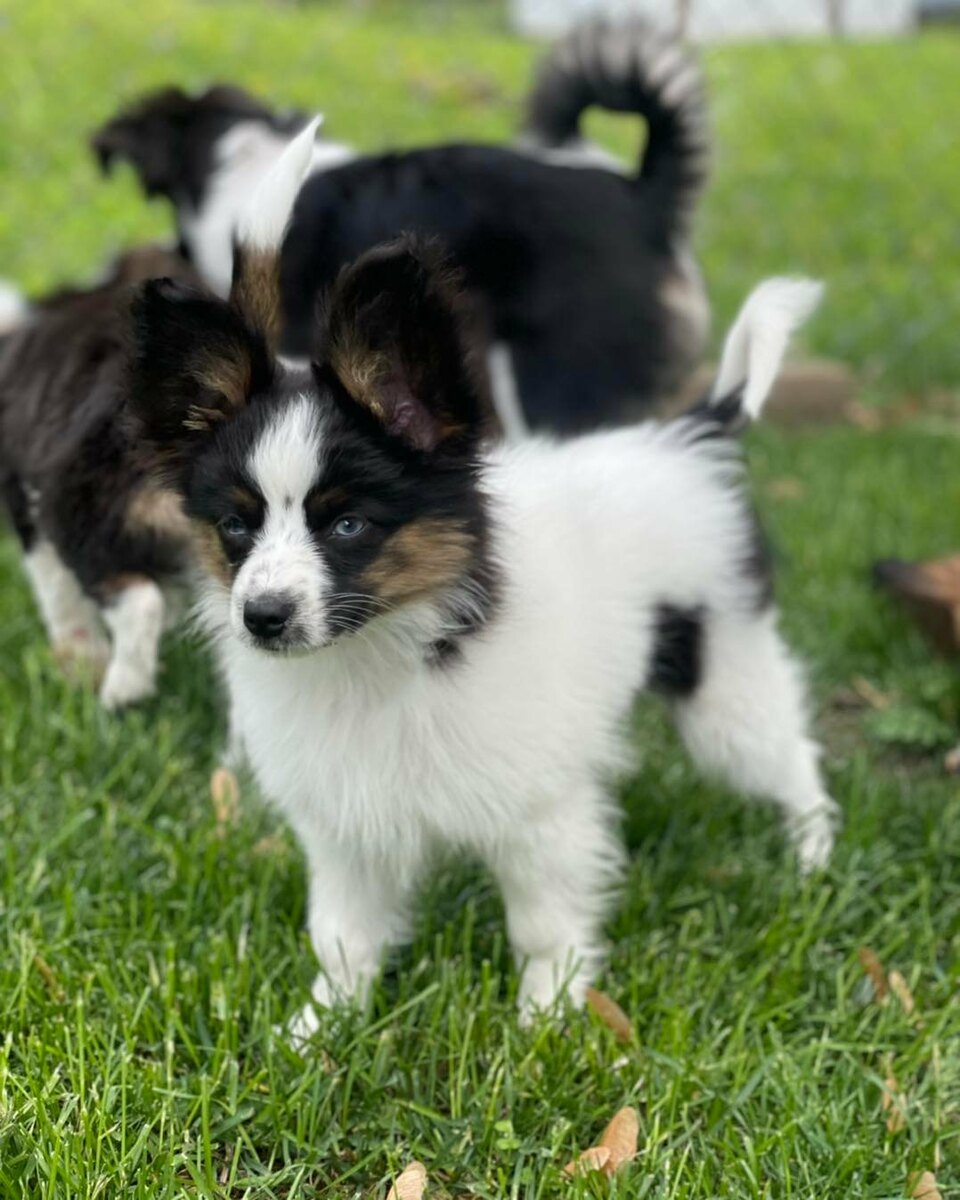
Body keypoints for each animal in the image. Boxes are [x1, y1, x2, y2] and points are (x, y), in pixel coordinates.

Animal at [0, 244, 200, 708]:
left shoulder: (28, 498)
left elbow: (53, 585)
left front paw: (78, 659)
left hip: (83, 512)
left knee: (136, 599)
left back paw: (122, 691)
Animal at [126, 123, 838, 1037]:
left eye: (347, 525)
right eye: (236, 527)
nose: (264, 616)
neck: (381, 657)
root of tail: (689, 437)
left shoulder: (539, 811)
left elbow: (543, 927)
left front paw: (545, 1024)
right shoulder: (347, 824)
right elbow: (343, 936)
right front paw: (320, 1030)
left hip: (724, 687)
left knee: (788, 754)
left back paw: (812, 856)